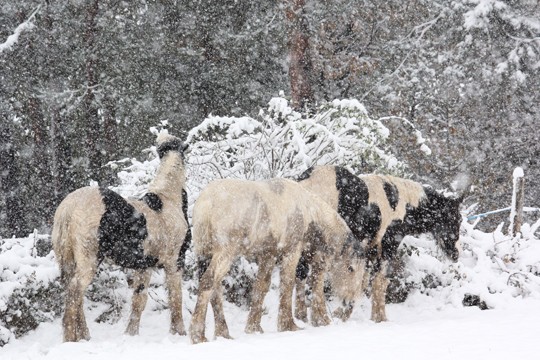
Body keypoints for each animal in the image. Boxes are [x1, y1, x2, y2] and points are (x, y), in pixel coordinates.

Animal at [51, 134, 190, 342]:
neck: (167, 201)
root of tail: (68, 207)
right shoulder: (175, 262)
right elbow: (176, 298)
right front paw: (180, 333)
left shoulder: (144, 266)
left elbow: (139, 301)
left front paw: (131, 334)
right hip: (89, 260)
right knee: (75, 292)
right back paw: (70, 339)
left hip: (68, 260)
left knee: (73, 293)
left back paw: (84, 336)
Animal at [187, 179, 362, 344]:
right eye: (350, 268)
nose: (348, 302)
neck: (310, 214)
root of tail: (205, 204)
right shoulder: (292, 251)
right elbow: (287, 284)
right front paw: (288, 324)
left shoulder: (268, 254)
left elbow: (261, 286)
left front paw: (254, 327)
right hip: (226, 252)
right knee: (208, 282)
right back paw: (198, 336)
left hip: (204, 253)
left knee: (214, 290)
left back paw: (223, 333)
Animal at [298, 167, 462, 324]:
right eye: (457, 219)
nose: (456, 254)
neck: (402, 204)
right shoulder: (387, 249)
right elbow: (380, 282)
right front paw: (379, 318)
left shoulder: (368, 252)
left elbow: (361, 283)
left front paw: (344, 313)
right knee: (316, 277)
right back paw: (321, 319)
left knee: (301, 274)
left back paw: (302, 317)